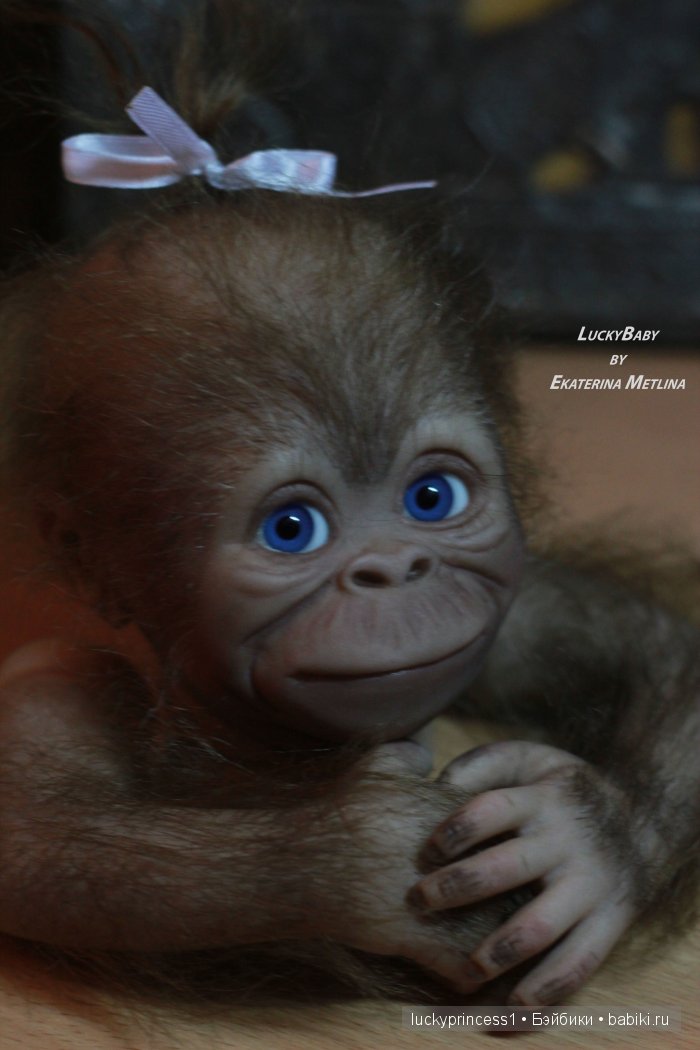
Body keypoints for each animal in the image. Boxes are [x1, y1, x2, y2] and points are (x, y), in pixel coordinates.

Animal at [0, 0, 698, 1011]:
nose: (394, 568)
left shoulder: (502, 614)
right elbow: (42, 833)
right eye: (293, 529)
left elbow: (654, 640)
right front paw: (360, 851)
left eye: (432, 497)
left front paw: (588, 834)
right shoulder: (60, 674)